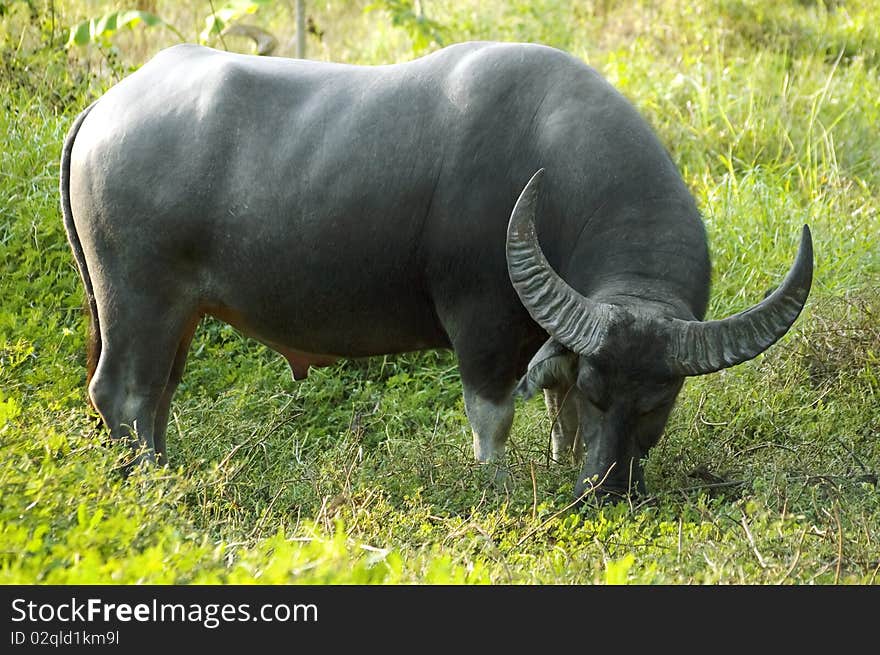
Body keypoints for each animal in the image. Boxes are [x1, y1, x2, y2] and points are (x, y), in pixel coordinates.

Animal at [62, 41, 816, 500]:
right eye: (603, 390)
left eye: (661, 399)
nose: (604, 493)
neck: (555, 168)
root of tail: (106, 105)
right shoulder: (480, 323)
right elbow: (495, 416)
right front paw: (498, 489)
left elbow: (557, 409)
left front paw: (560, 466)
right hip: (137, 299)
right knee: (122, 392)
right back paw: (151, 482)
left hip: (178, 312)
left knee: (158, 393)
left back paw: (164, 468)